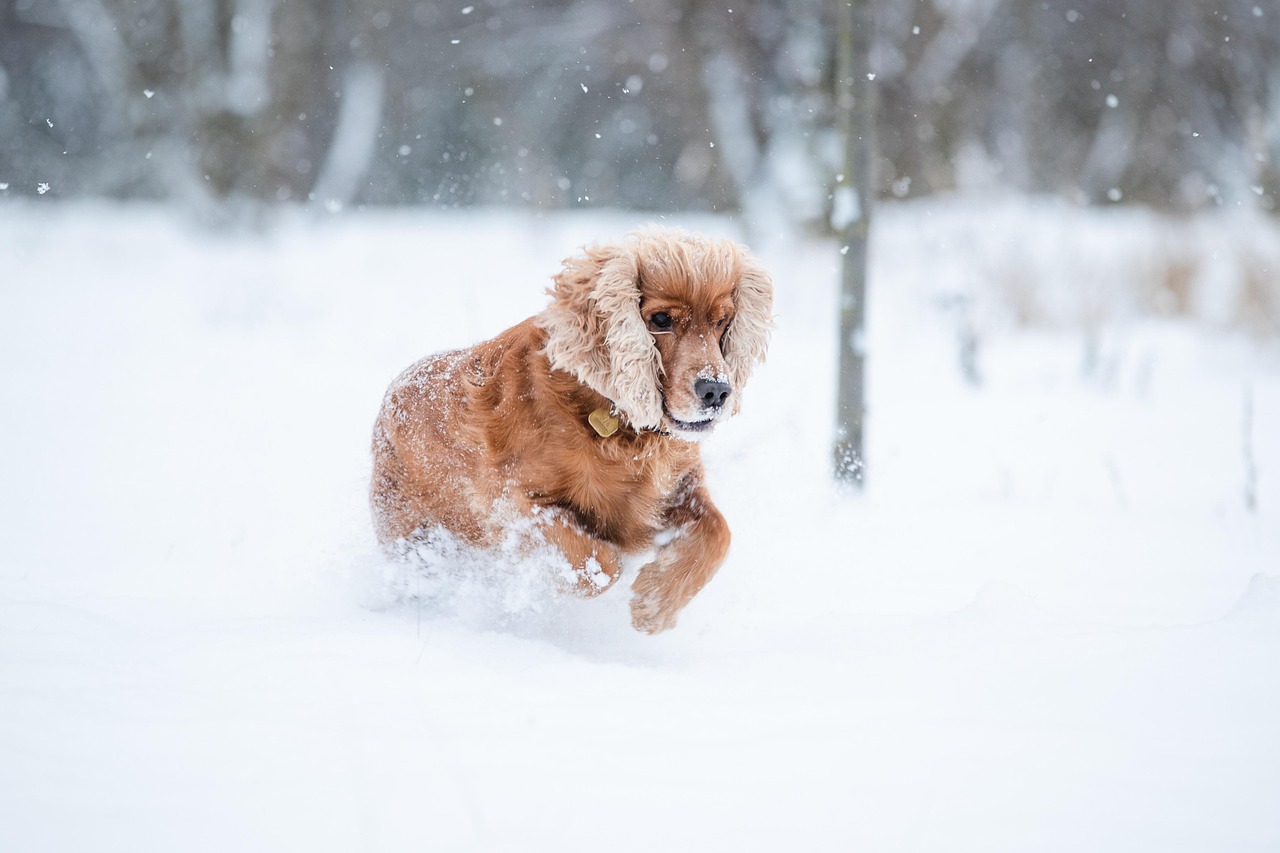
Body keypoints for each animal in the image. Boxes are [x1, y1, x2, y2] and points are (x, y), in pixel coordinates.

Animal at [368, 225, 768, 630]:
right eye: (660, 320)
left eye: (721, 320)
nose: (716, 390)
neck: (613, 418)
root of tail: (391, 394)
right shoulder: (511, 501)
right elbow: (602, 565)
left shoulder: (678, 487)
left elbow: (718, 533)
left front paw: (656, 603)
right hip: (411, 534)